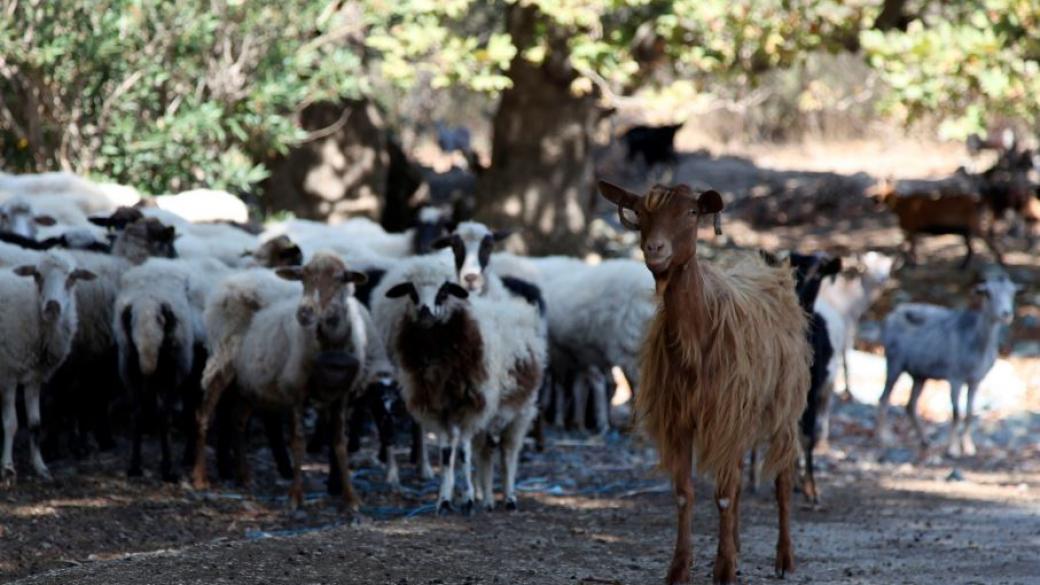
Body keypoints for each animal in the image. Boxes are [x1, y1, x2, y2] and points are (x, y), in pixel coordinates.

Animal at [0, 250, 95, 478]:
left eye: (72, 278)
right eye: (37, 275)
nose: (52, 306)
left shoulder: (34, 377)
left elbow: (35, 424)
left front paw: (40, 467)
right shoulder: (8, 373)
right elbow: (11, 423)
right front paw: (7, 467)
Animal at [599, 180, 807, 582]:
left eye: (692, 212)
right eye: (640, 213)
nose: (655, 249)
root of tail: (770, 271)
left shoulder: (724, 414)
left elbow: (723, 495)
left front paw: (724, 569)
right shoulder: (680, 419)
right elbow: (686, 493)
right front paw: (681, 567)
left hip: (783, 407)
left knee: (783, 478)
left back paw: (785, 558)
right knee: (739, 476)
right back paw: (739, 546)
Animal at [873, 177, 1002, 266]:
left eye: (881, 190)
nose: (874, 199)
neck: (900, 205)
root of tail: (976, 202)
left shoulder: (911, 228)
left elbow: (905, 247)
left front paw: (910, 263)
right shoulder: (911, 230)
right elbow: (905, 247)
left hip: (974, 224)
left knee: (987, 242)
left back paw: (1000, 260)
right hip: (966, 230)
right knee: (971, 248)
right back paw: (963, 266)